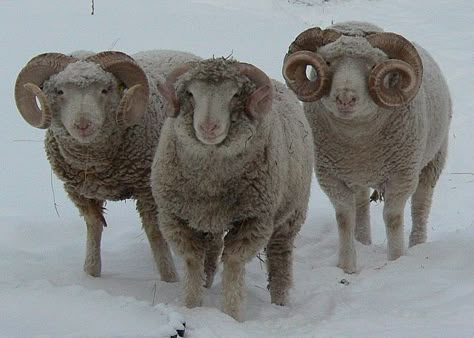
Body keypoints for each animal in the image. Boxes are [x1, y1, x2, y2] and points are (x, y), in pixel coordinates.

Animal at [13, 48, 203, 280]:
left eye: (104, 90)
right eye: (60, 91)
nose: (83, 125)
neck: (96, 165)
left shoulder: (146, 188)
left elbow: (154, 233)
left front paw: (169, 277)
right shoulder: (78, 192)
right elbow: (94, 226)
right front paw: (91, 273)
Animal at [152, 57, 314, 320]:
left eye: (235, 94)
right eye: (190, 93)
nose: (208, 127)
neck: (211, 182)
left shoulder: (254, 220)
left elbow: (233, 264)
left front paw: (231, 314)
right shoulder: (174, 217)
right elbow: (193, 261)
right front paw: (192, 306)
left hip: (290, 215)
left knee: (279, 257)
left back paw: (279, 302)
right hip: (210, 221)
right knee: (212, 249)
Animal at [282, 21, 452, 274]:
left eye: (372, 65)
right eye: (328, 62)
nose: (345, 99)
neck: (359, 140)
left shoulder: (402, 175)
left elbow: (392, 217)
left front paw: (396, 260)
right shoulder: (330, 176)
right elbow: (344, 217)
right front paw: (346, 266)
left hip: (432, 161)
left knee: (421, 204)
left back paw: (417, 244)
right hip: (357, 176)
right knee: (361, 204)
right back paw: (362, 241)